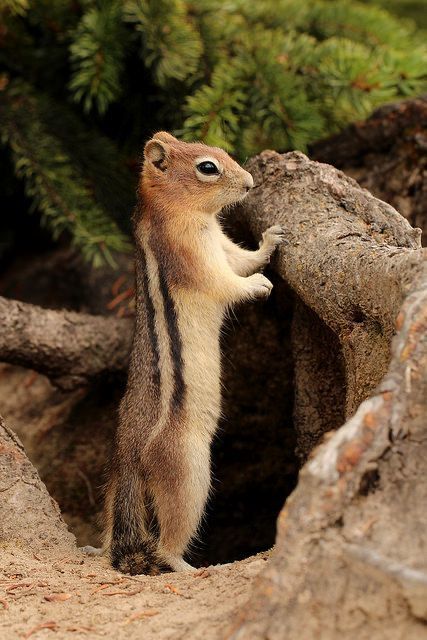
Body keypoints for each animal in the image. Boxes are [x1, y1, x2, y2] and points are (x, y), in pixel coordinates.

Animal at [103, 132, 284, 572]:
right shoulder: (193, 253)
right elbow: (226, 281)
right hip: (188, 470)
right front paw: (258, 285)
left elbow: (242, 257)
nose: (250, 183)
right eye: (208, 167)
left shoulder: (220, 242)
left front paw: (271, 239)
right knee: (167, 542)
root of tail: (130, 456)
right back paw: (188, 567)